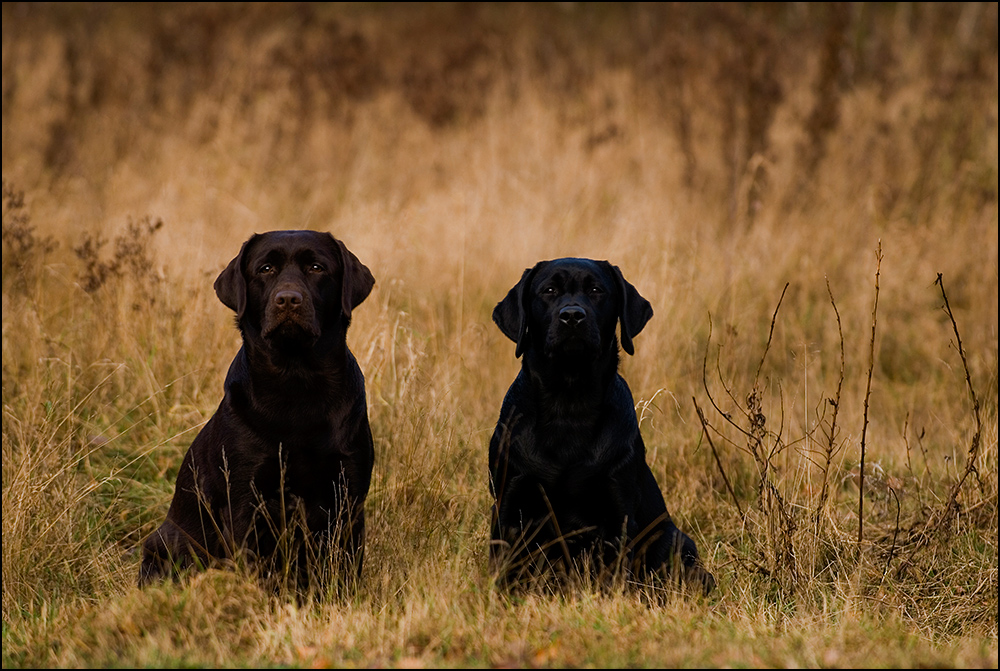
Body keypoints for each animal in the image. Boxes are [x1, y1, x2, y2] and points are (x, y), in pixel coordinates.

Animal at [140, 230, 376, 592]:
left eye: (316, 267)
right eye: (265, 269)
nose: (288, 299)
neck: (296, 382)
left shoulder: (349, 495)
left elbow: (344, 568)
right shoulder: (244, 499)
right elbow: (255, 566)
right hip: (164, 543)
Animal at [488, 258, 716, 592]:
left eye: (596, 290)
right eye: (549, 290)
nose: (572, 315)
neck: (569, 403)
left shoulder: (616, 512)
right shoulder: (510, 504)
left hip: (676, 543)